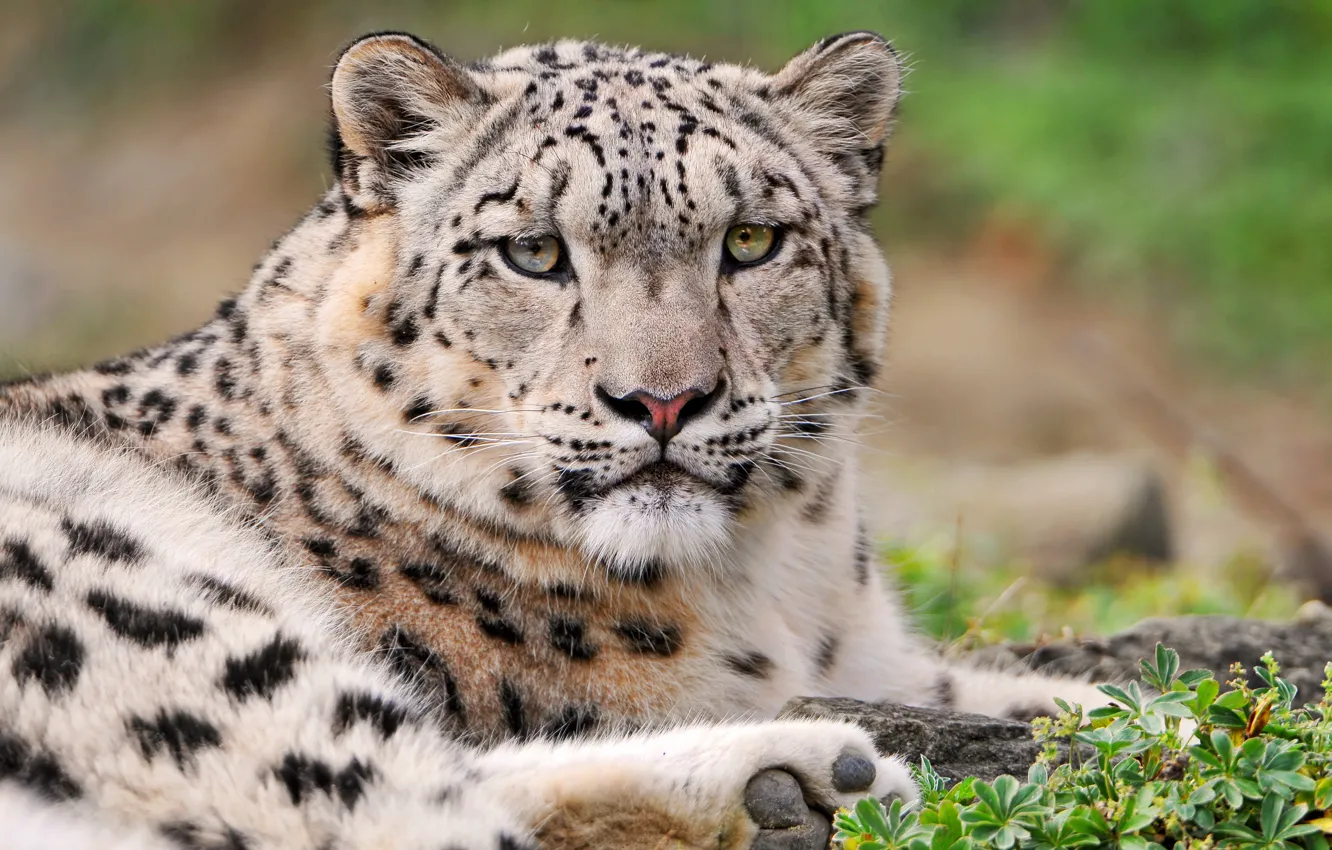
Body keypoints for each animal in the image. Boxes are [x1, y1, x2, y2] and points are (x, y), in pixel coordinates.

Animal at [0, 31, 1107, 849]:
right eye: (533, 252)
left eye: (751, 241)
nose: (662, 401)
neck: (781, 585)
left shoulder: (884, 657)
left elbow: (1016, 689)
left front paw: (1101, 703)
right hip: (173, 631)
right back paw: (805, 778)